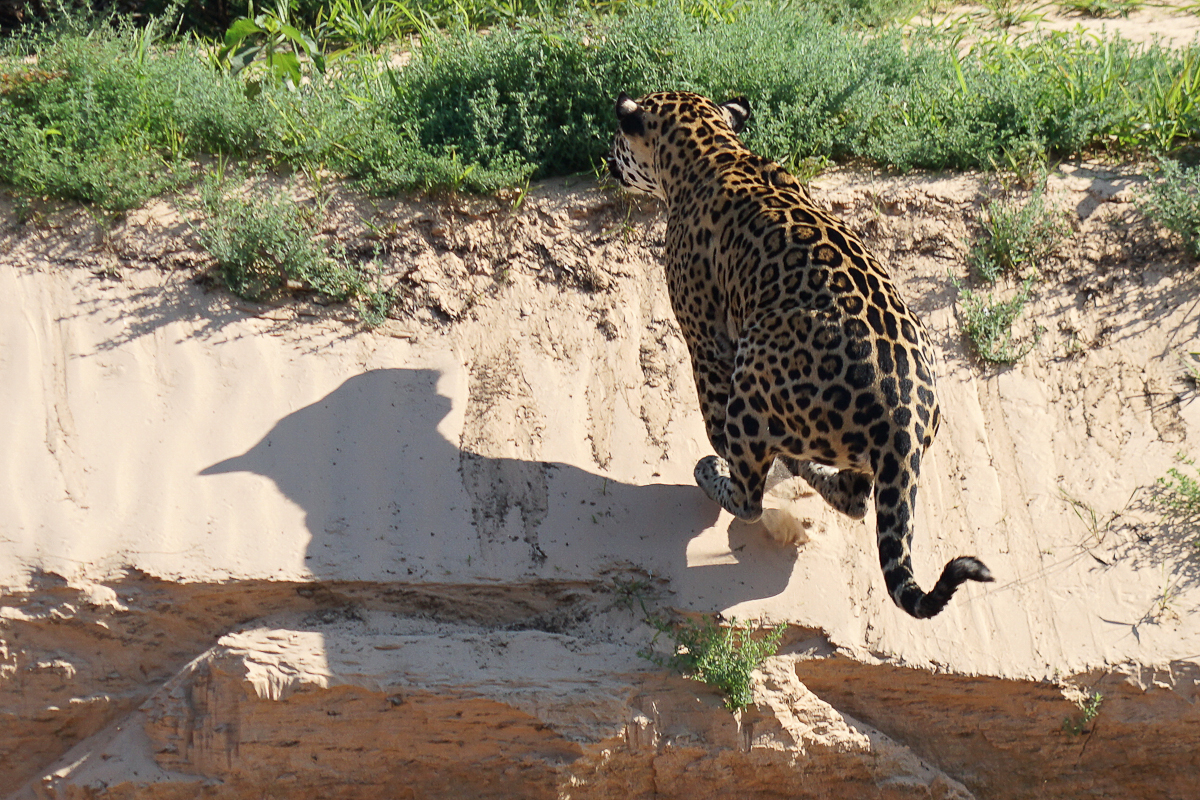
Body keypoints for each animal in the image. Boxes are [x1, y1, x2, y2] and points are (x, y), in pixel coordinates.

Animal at [607, 90, 992, 619]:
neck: (712, 149)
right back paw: (807, 467)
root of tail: (905, 422)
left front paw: (719, 452)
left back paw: (719, 472)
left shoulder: (704, 337)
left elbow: (713, 417)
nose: (608, 160)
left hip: (754, 363)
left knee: (751, 496)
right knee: (856, 497)